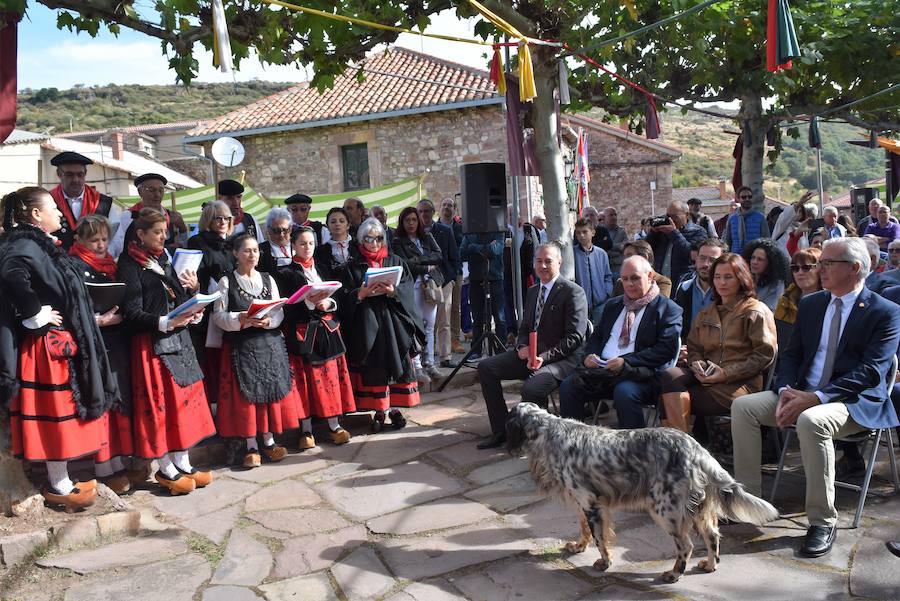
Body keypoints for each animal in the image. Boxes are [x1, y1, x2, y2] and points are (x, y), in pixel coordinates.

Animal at [506, 404, 780, 580]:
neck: (550, 433)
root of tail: (697, 450)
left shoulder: (591, 502)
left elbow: (600, 539)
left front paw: (604, 563)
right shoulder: (581, 503)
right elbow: (584, 529)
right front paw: (578, 546)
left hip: (665, 509)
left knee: (686, 545)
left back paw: (673, 574)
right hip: (698, 508)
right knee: (712, 536)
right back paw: (709, 565)